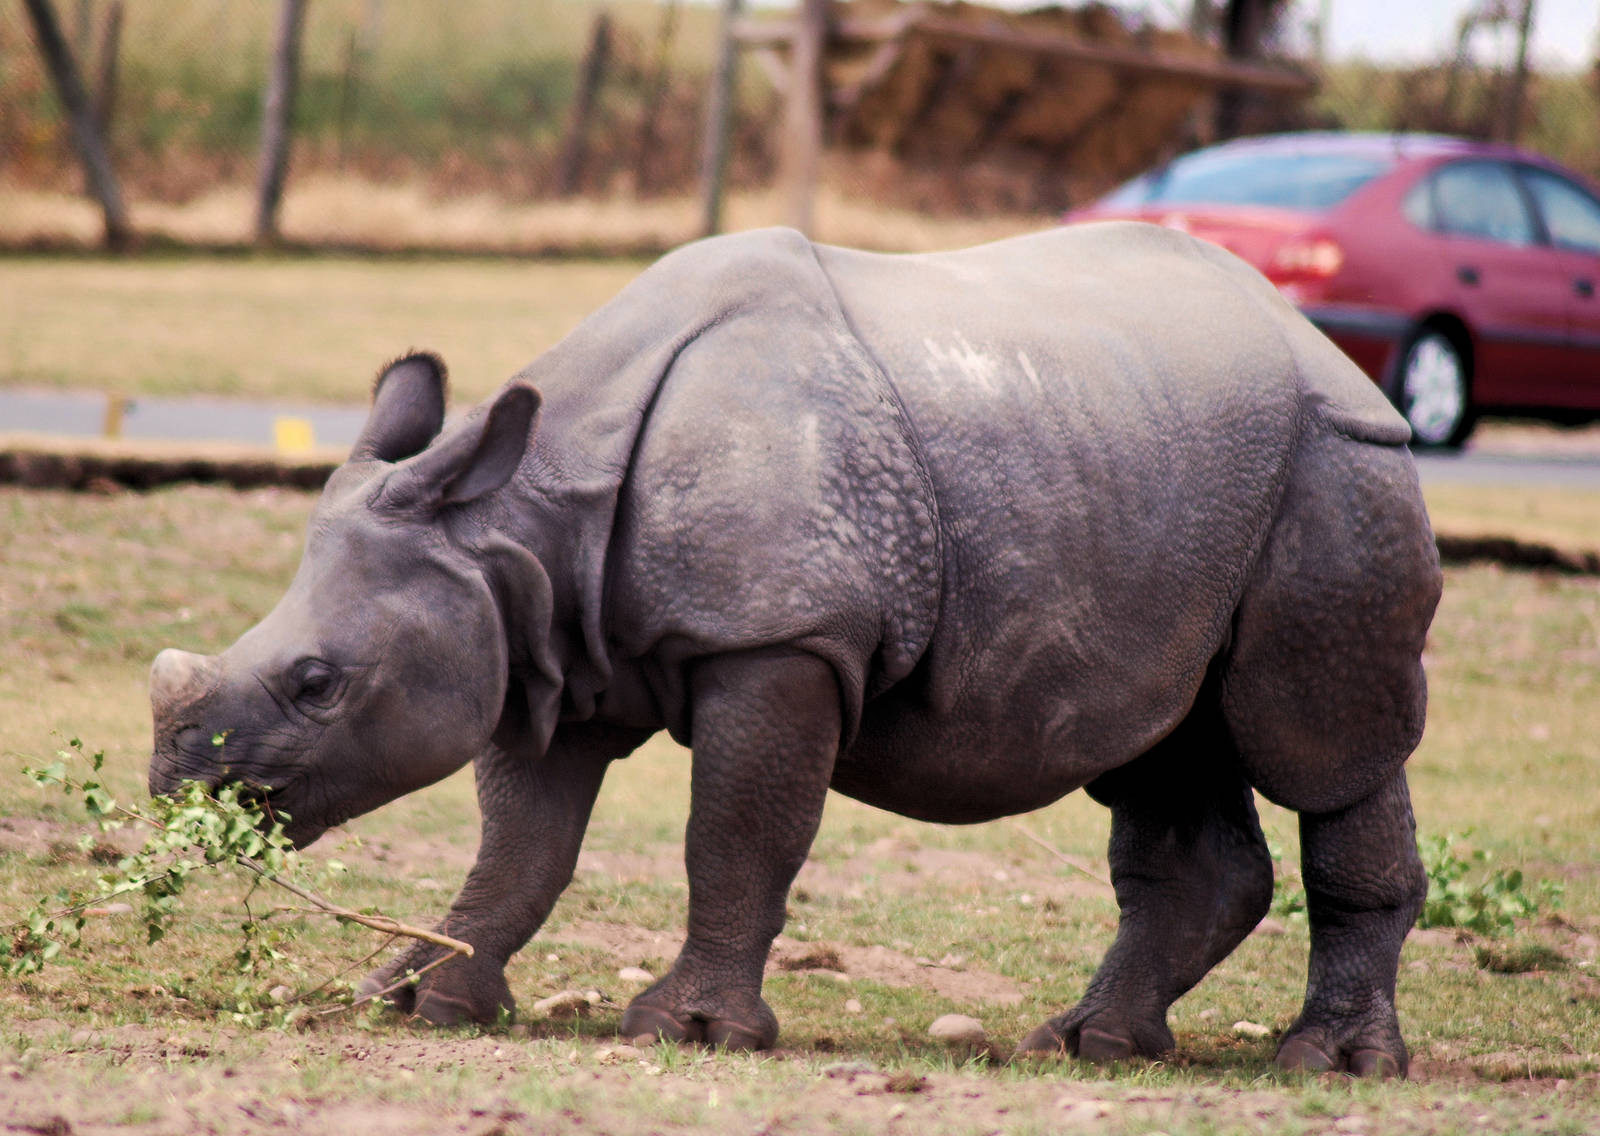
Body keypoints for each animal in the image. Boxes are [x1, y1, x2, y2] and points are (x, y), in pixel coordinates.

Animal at [149, 224, 1441, 1076]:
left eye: (317, 682)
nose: (180, 792)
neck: (515, 520)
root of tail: (1319, 342)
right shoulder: (539, 653)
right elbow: (521, 849)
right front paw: (413, 1001)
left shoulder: (779, 636)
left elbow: (736, 831)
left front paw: (688, 1031)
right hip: (1158, 478)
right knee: (1161, 741)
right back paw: (1089, 1046)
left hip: (1341, 467)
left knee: (1323, 747)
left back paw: (1325, 1065)